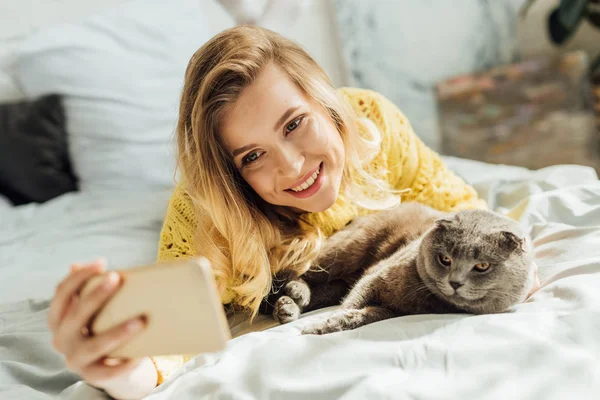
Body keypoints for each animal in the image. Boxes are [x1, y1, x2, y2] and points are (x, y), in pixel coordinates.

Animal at [268, 202, 536, 336]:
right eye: (445, 259)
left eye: (482, 266)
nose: (455, 282)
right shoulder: (374, 277)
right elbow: (354, 301)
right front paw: (319, 325)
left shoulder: (393, 311)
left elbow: (364, 315)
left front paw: (332, 323)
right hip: (344, 251)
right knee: (290, 274)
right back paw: (294, 296)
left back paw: (288, 306)